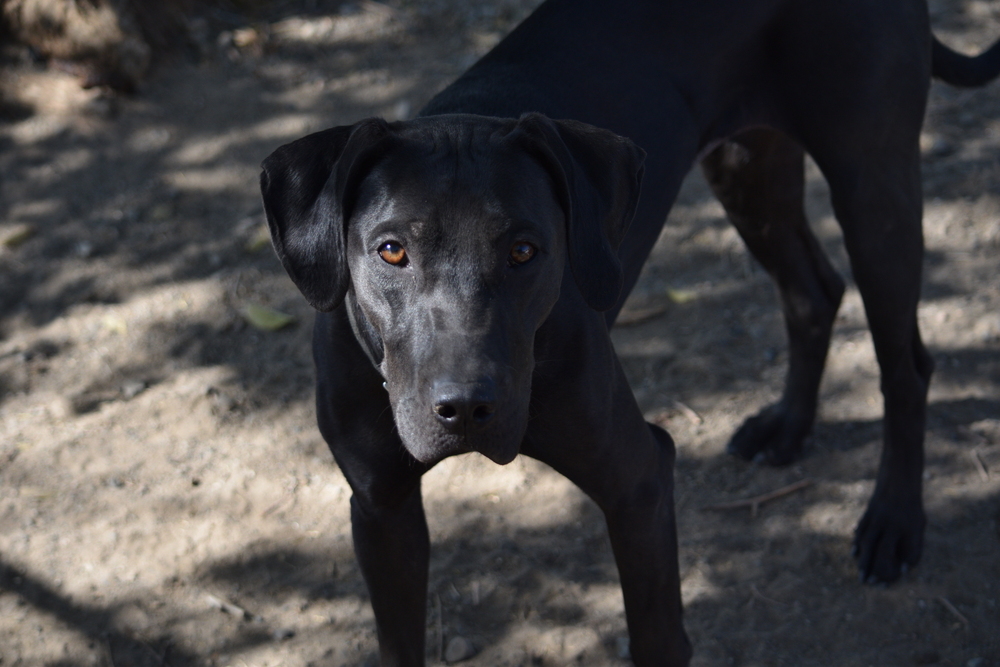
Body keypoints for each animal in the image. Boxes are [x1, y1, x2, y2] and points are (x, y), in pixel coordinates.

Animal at [260, 2, 1000, 664]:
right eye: (391, 251)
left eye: (525, 250)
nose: (466, 407)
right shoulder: (381, 510)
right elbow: (397, 639)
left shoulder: (637, 480)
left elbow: (657, 635)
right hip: (749, 172)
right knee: (812, 294)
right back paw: (788, 426)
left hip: (871, 185)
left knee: (905, 364)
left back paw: (894, 522)